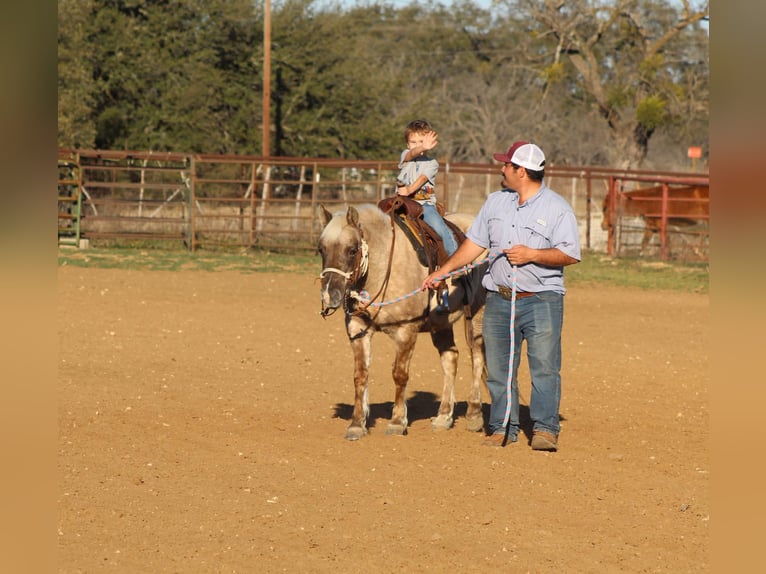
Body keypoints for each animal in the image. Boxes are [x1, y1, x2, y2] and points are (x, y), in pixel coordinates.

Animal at [317, 203, 488, 440]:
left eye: (352, 249)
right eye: (321, 249)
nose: (329, 296)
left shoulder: (406, 331)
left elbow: (399, 375)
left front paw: (397, 422)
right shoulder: (357, 329)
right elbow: (360, 376)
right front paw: (357, 424)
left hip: (477, 313)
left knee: (477, 356)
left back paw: (474, 414)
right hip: (441, 323)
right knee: (450, 359)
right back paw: (444, 416)